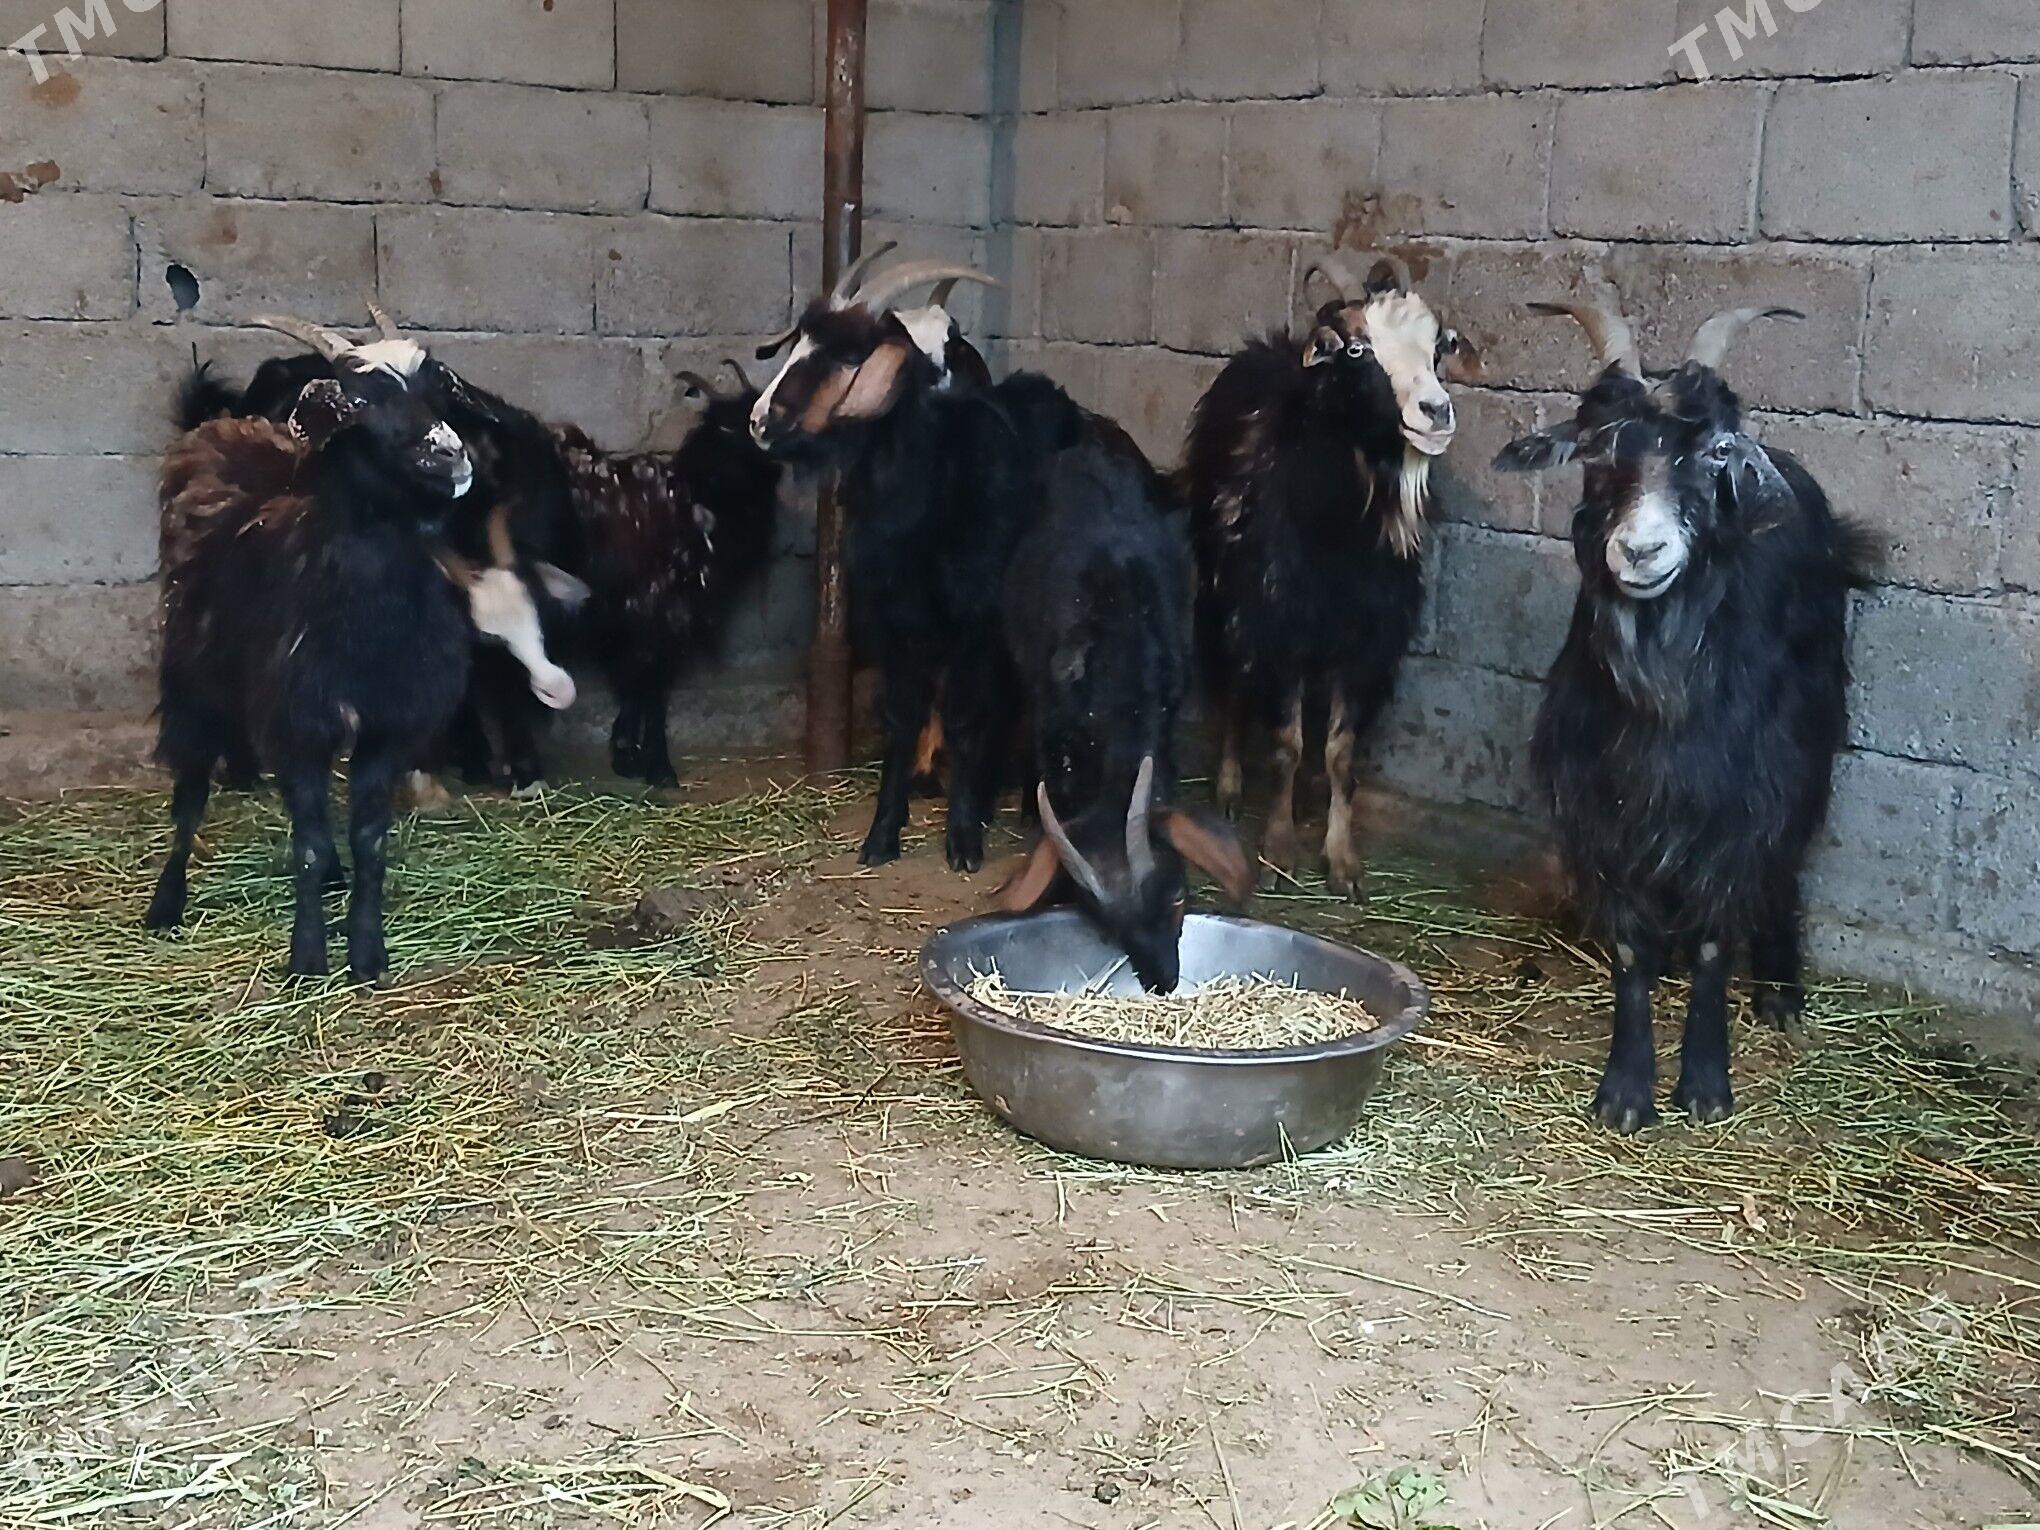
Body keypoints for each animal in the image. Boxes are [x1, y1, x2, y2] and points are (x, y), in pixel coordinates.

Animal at [144, 317, 561, 981]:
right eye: (360, 401)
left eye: (437, 391)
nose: (452, 454)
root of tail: (221, 426)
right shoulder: (297, 717)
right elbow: (308, 844)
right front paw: (307, 957)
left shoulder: (386, 724)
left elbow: (367, 838)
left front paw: (367, 952)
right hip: (192, 671)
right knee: (190, 789)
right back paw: (166, 903)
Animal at [555, 361, 782, 786]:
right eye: (728, 429)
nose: (775, 466)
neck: (694, 497)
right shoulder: (660, 606)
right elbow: (653, 684)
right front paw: (656, 765)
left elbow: (636, 682)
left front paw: (627, 756)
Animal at [749, 249, 1037, 873]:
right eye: (798, 343)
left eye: (848, 356)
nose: (759, 421)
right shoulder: (896, 618)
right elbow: (902, 720)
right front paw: (883, 832)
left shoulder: (975, 622)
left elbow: (965, 716)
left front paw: (963, 840)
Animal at [1181, 252, 1477, 899]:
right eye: (1357, 350)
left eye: (1437, 349)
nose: (1436, 412)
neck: (1339, 535)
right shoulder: (1276, 624)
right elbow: (1288, 746)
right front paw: (1279, 848)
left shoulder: (1369, 643)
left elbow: (1340, 754)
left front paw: (1342, 860)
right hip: (1222, 595)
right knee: (1235, 690)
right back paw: (1230, 788)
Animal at [1494, 295, 1871, 1132]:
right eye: (1595, 450)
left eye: (1715, 455)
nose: (1641, 551)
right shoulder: (1604, 807)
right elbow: (1630, 949)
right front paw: (1627, 1090)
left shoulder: (1741, 801)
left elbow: (1714, 939)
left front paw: (1703, 1083)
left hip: (1812, 736)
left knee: (1785, 860)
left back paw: (1779, 992)